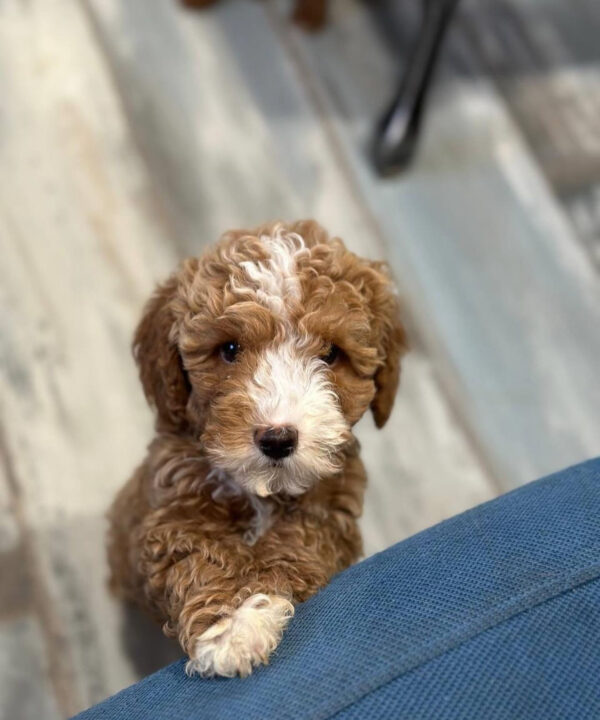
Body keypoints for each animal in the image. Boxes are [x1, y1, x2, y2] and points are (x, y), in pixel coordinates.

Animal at [108, 218, 408, 676]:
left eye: (332, 353)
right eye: (230, 349)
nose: (277, 438)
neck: (263, 490)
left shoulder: (330, 516)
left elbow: (297, 544)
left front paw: (247, 614)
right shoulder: (172, 507)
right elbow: (197, 553)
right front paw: (231, 625)